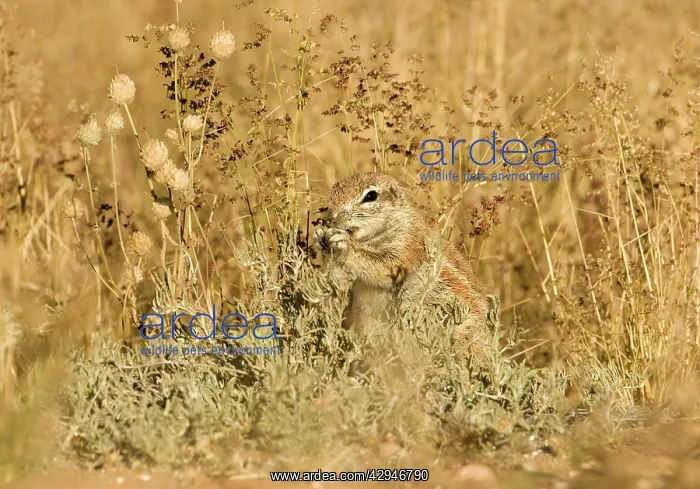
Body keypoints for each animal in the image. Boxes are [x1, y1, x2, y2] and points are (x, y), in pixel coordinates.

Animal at [314, 172, 498, 360]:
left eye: (371, 196)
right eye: (333, 191)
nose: (331, 219)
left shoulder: (405, 248)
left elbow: (383, 266)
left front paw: (344, 244)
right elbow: (338, 281)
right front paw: (321, 237)